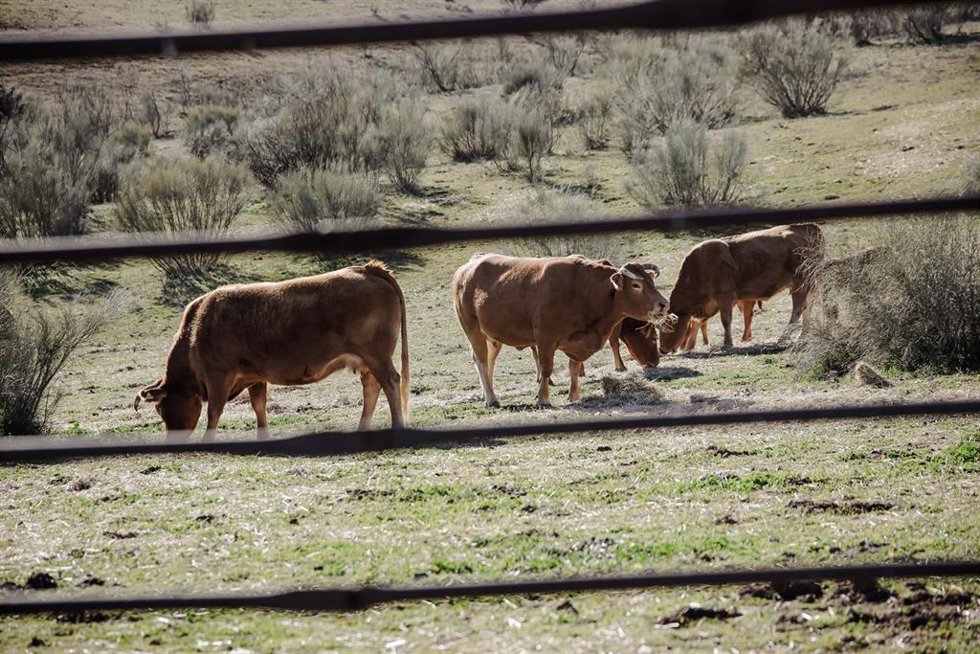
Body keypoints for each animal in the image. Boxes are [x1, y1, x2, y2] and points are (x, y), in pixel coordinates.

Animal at [135, 261, 409, 440]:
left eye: (161, 408)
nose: (172, 441)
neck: (197, 329)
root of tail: (367, 269)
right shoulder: (254, 378)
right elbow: (259, 407)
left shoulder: (218, 377)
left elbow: (214, 411)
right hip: (366, 362)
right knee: (372, 388)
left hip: (377, 357)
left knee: (390, 382)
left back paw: (398, 425)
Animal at [452, 254, 669, 407]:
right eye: (636, 285)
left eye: (652, 282)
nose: (663, 304)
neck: (584, 291)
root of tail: (467, 268)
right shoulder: (545, 339)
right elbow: (546, 369)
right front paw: (543, 399)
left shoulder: (577, 342)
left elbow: (574, 368)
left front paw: (574, 395)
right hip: (472, 328)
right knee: (481, 360)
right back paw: (491, 399)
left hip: (492, 335)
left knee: (488, 361)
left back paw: (486, 393)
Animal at [659, 223, 824, 353]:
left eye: (667, 327)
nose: (662, 350)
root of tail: (807, 227)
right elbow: (698, 322)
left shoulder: (725, 297)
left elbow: (726, 320)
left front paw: (727, 344)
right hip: (809, 285)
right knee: (807, 308)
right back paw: (803, 336)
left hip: (800, 285)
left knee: (798, 310)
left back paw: (783, 338)